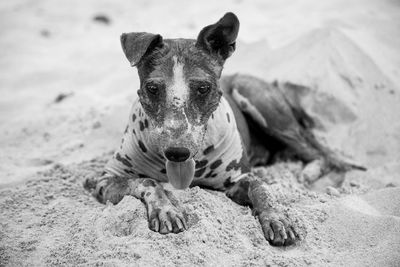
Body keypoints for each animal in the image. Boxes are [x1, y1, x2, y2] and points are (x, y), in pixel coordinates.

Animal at [85, 12, 366, 247]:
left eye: (203, 88)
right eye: (153, 88)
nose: (177, 152)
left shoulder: (238, 179)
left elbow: (261, 187)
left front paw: (276, 217)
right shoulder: (107, 179)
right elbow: (148, 181)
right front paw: (167, 210)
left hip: (259, 101)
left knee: (320, 153)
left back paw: (306, 173)